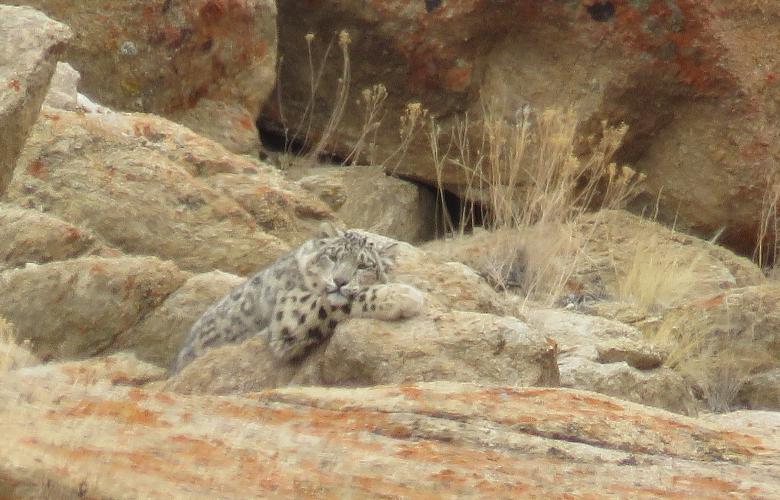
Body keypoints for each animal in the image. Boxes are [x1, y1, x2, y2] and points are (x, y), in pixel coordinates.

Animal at [170, 228, 424, 373]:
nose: (339, 281)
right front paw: (403, 295)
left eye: (364, 265)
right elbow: (334, 302)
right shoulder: (291, 309)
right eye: (333, 257)